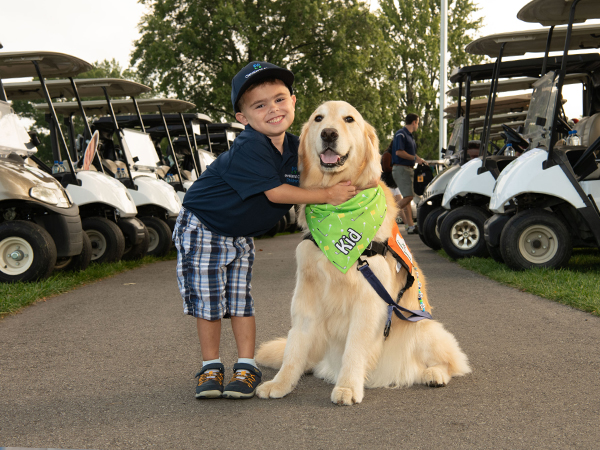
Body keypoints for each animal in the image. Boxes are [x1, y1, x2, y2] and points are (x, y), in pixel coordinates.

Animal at [253, 101, 468, 404]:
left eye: (349, 119)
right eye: (318, 118)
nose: (329, 133)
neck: (338, 214)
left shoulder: (368, 301)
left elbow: (354, 348)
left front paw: (347, 387)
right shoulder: (306, 298)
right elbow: (294, 346)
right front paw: (281, 383)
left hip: (424, 328)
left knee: (453, 362)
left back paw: (433, 373)